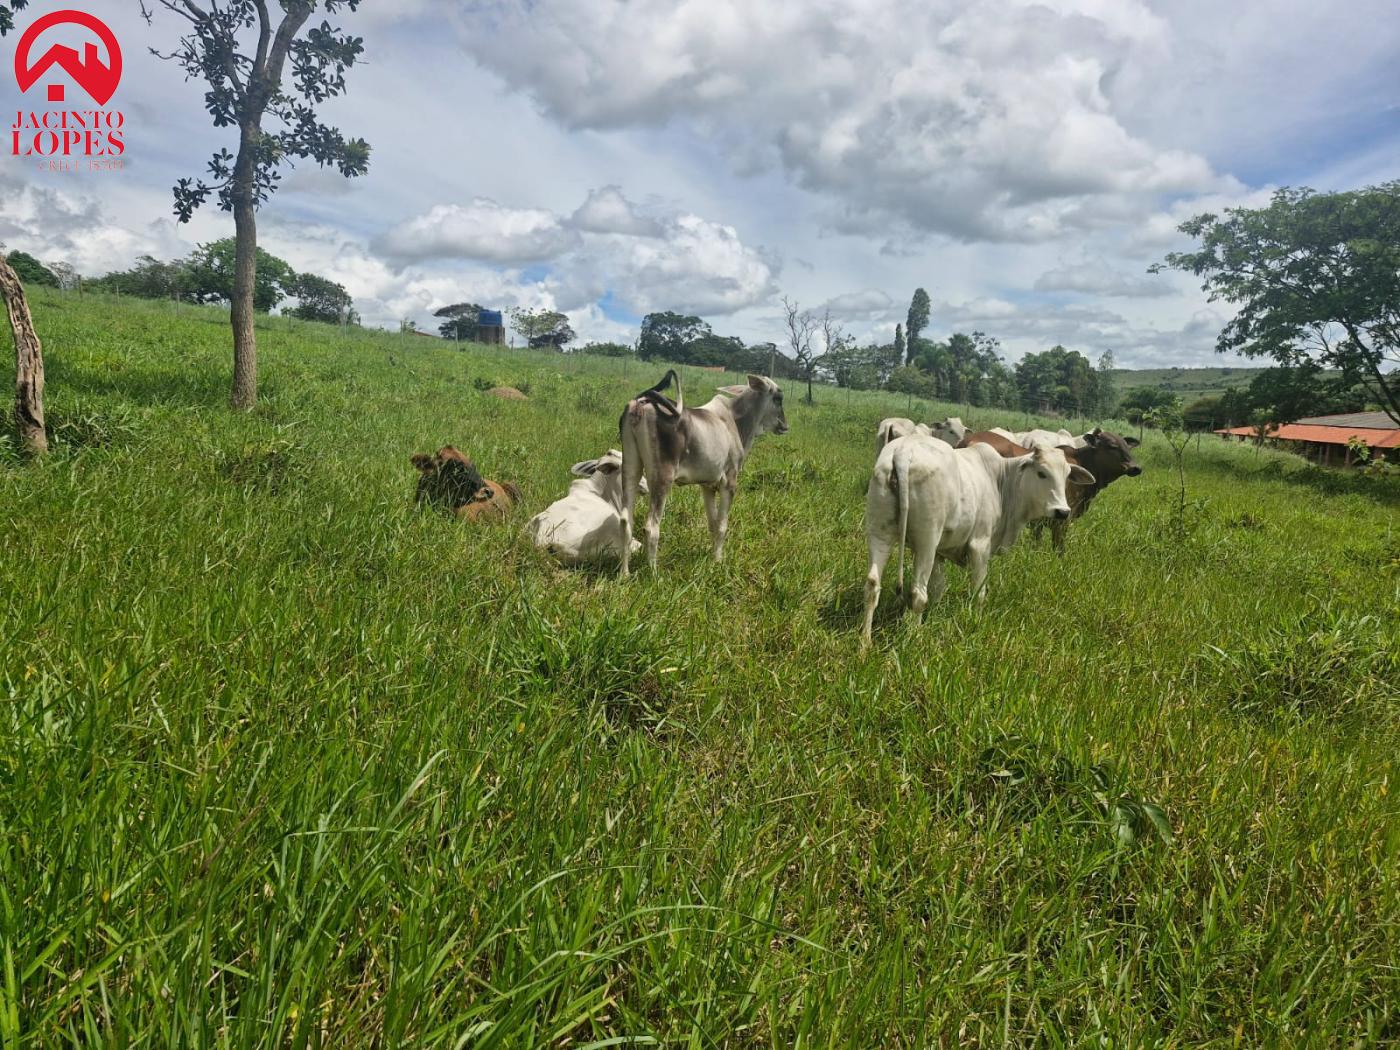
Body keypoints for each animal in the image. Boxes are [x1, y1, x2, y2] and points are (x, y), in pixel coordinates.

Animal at [621, 372, 795, 576]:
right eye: (778, 398)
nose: (784, 426)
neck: (735, 420)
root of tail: (642, 403)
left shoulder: (707, 486)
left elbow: (712, 524)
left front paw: (712, 558)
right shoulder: (729, 483)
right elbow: (721, 526)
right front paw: (718, 562)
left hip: (630, 466)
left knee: (625, 520)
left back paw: (624, 574)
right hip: (662, 477)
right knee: (651, 526)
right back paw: (654, 574)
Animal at [856, 431, 1097, 646]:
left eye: (1066, 475)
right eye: (1042, 473)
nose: (1062, 511)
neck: (1001, 480)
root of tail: (903, 452)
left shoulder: (940, 552)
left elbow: (938, 588)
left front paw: (935, 615)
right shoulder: (979, 546)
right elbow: (979, 591)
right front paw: (976, 624)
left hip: (879, 532)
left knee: (872, 585)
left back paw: (865, 643)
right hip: (927, 540)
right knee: (917, 593)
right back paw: (915, 637)